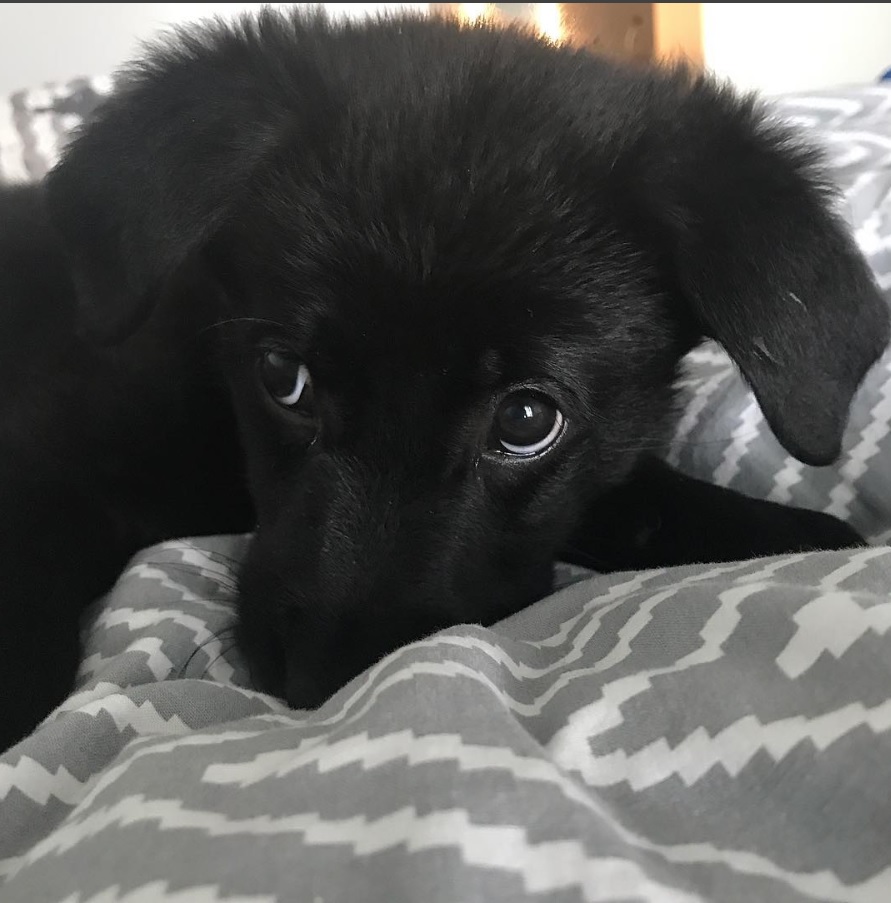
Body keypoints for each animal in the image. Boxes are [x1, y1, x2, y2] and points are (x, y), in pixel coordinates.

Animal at [0, 10, 884, 752]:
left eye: (527, 420)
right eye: (282, 376)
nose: (320, 684)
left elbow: (638, 489)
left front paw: (794, 532)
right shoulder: (42, 464)